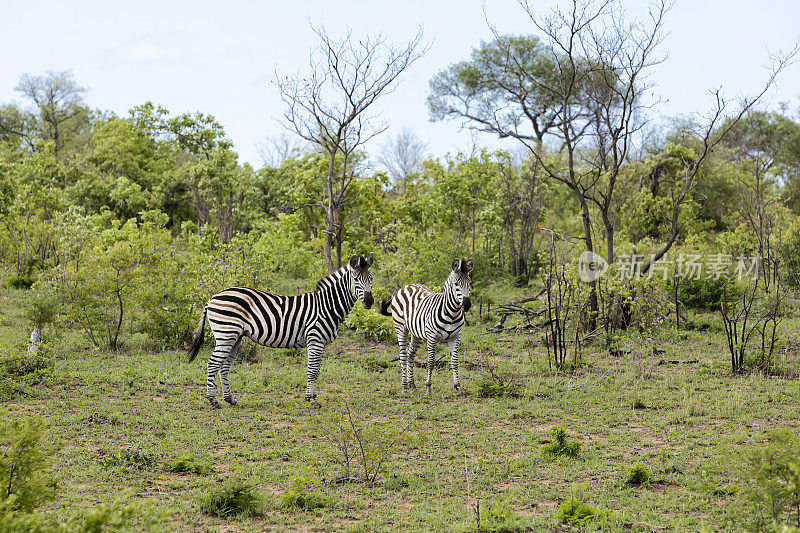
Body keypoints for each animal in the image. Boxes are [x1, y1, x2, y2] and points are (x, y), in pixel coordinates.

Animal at [188, 254, 376, 408]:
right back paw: (213, 401)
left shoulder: (321, 343)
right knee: (213, 363)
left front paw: (314, 397)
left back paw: (230, 399)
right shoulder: (315, 340)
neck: (327, 306)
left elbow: (317, 371)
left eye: (371, 278)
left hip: (235, 336)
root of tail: (212, 297)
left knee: (224, 366)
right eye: (356, 279)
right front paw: (309, 399)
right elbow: (312, 370)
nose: (369, 302)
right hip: (226, 334)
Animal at [380, 258, 472, 394]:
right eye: (456, 284)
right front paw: (428, 388)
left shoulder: (455, 336)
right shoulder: (432, 336)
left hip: (416, 333)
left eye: (469, 283)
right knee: (403, 355)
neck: (452, 313)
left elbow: (455, 361)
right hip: (400, 328)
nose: (466, 305)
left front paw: (458, 387)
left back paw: (412, 384)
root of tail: (407, 285)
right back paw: (404, 387)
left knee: (410, 354)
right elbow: (431, 362)